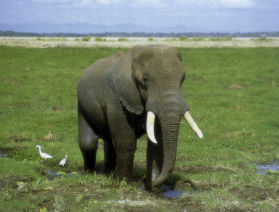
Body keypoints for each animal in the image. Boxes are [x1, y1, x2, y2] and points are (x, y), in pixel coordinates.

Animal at [77, 44, 203, 189]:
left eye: (183, 79)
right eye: (145, 80)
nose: (143, 181)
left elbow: (156, 143)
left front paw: (153, 186)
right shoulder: (115, 98)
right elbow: (126, 141)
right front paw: (125, 183)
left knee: (110, 142)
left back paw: (110, 174)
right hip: (82, 104)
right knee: (89, 142)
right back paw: (91, 174)